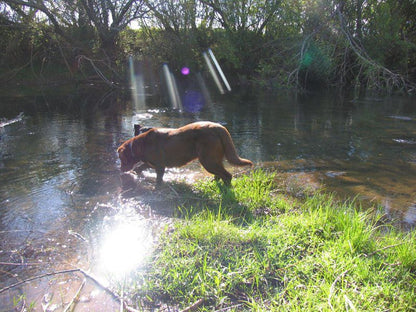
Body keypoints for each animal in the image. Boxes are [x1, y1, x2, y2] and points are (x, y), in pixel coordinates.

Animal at [118, 121, 254, 185]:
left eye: (121, 159)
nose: (120, 169)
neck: (141, 144)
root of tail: (218, 127)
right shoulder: (150, 163)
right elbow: (139, 168)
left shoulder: (160, 166)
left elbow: (158, 179)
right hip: (214, 159)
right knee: (219, 174)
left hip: (208, 160)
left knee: (227, 176)